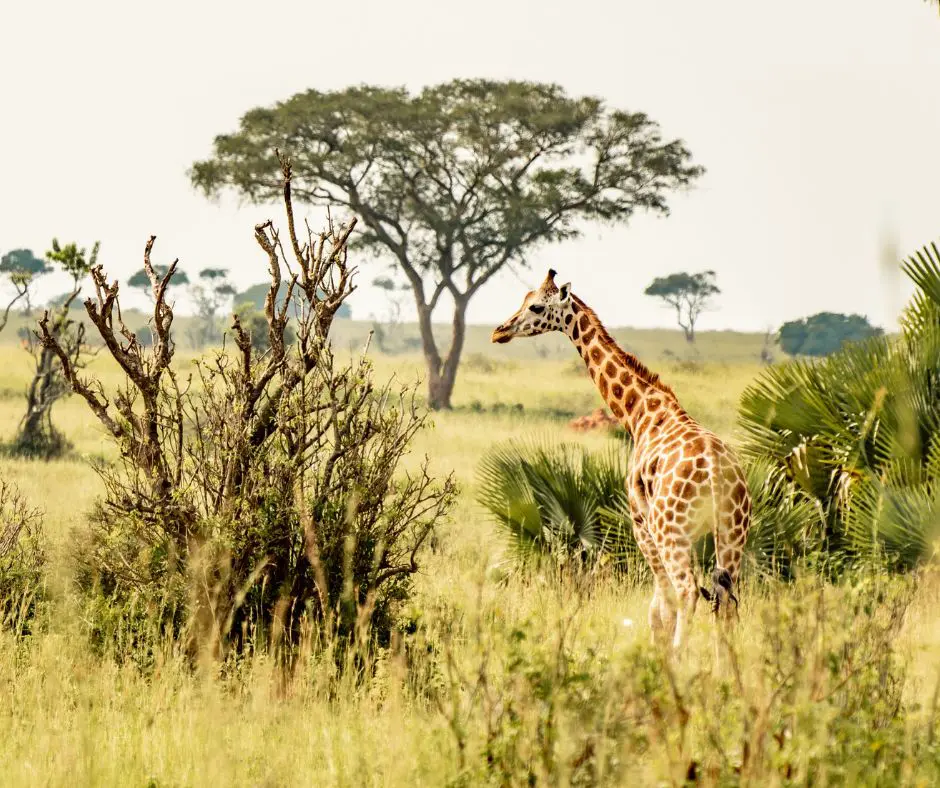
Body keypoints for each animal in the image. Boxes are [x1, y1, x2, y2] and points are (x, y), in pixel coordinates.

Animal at [491, 269, 751, 648]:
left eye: (536, 306)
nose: (500, 331)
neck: (640, 413)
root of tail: (717, 473)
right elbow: (663, 607)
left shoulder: (640, 523)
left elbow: (660, 609)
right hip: (733, 531)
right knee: (727, 601)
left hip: (672, 531)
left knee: (688, 592)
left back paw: (681, 658)